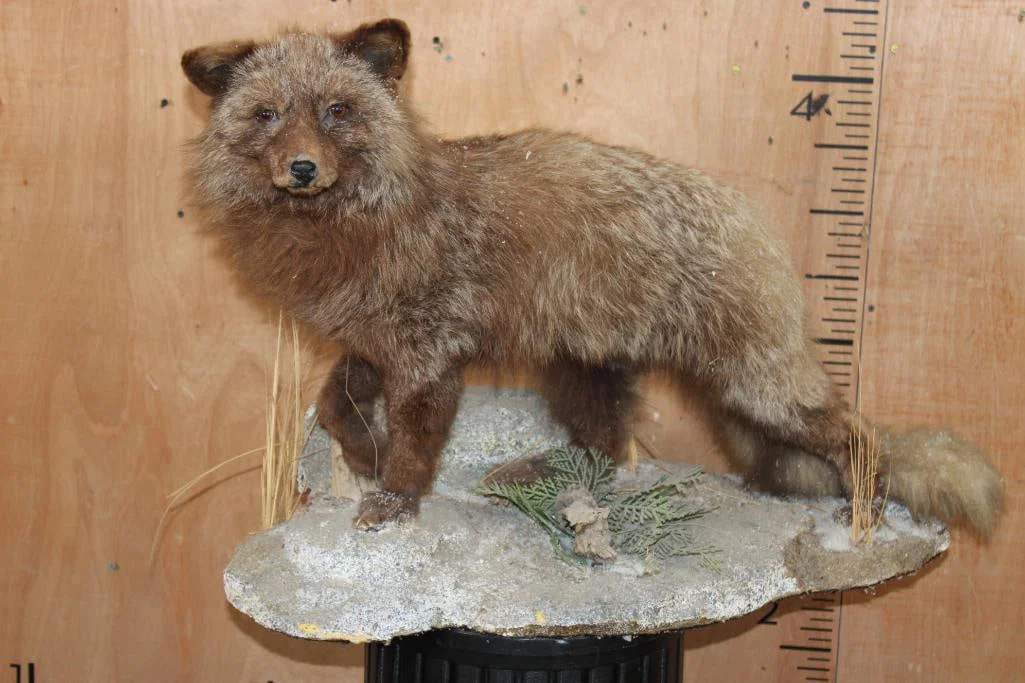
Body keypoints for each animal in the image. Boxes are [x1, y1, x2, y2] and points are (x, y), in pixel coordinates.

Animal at [182, 18, 1003, 533]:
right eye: (266, 115)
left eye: (336, 109)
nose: (301, 168)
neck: (360, 219)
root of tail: (753, 222)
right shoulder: (372, 344)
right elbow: (334, 404)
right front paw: (363, 456)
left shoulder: (427, 356)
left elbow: (414, 446)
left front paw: (395, 498)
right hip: (581, 374)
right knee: (612, 456)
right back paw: (547, 482)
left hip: (758, 389)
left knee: (858, 437)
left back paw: (862, 517)